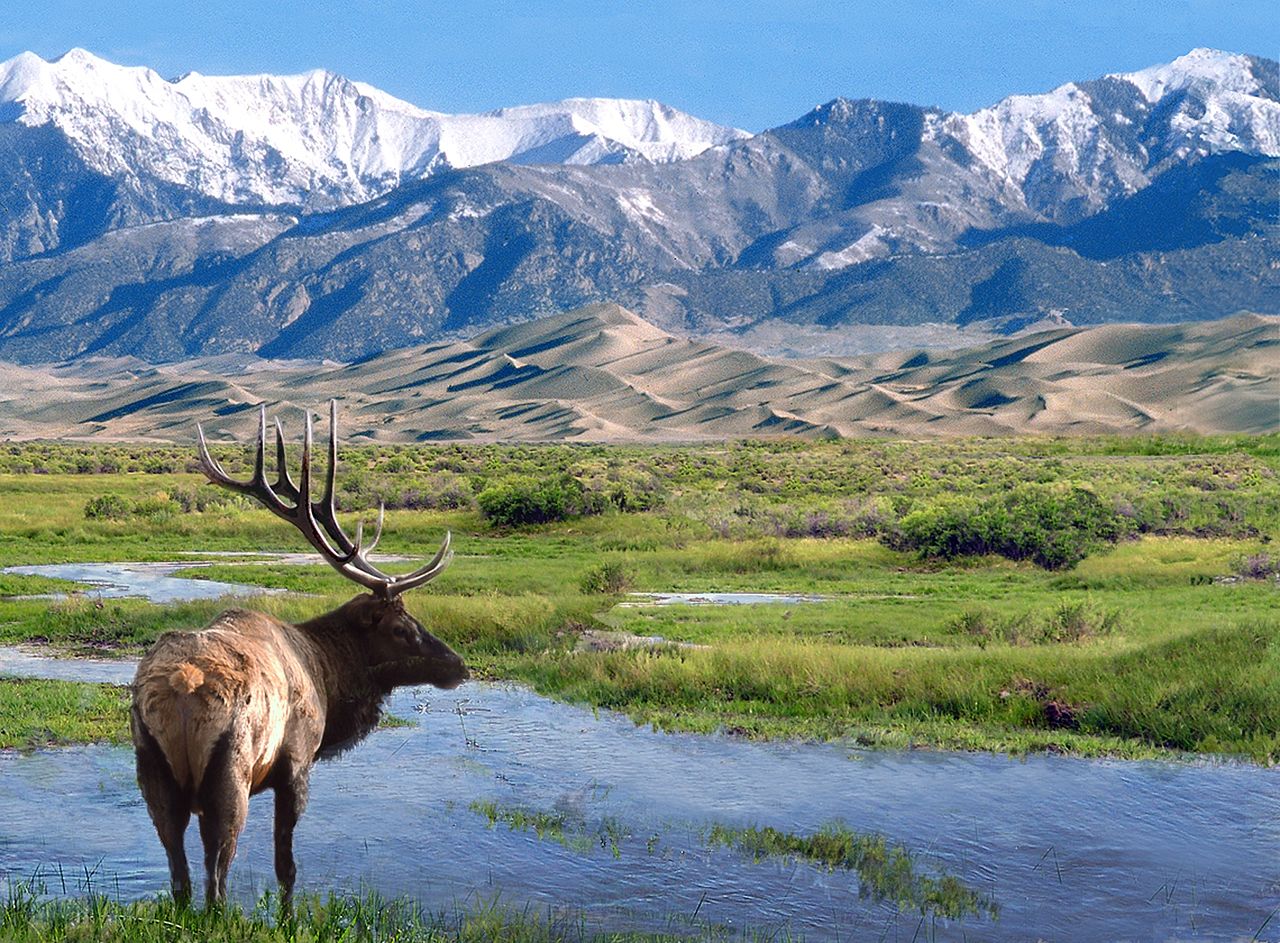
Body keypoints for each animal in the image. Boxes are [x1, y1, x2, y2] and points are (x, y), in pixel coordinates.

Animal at [130, 401, 467, 908]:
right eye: (401, 628)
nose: (458, 666)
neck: (328, 675)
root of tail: (180, 690)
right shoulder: (296, 762)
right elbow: (285, 866)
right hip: (229, 772)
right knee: (216, 878)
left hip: (152, 766)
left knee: (181, 876)